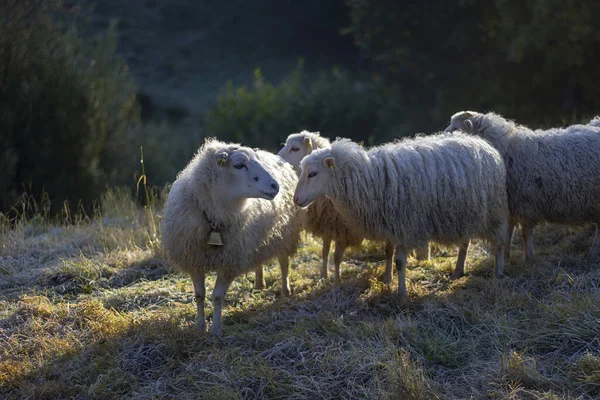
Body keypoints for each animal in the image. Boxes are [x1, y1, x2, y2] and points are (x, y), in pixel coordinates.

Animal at [162, 138, 302, 334]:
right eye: (239, 165)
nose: (275, 186)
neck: (213, 219)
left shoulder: (229, 262)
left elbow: (217, 297)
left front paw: (215, 329)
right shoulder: (194, 260)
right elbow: (199, 295)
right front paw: (200, 326)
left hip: (284, 234)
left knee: (284, 263)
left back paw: (285, 290)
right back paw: (259, 284)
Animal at [278, 131, 428, 282]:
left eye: (295, 148)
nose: (278, 162)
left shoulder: (343, 230)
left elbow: (337, 256)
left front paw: (337, 280)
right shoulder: (328, 226)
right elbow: (325, 251)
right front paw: (324, 275)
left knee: (391, 250)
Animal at [292, 136, 508, 296]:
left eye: (312, 174)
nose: (296, 199)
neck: (370, 178)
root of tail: (484, 144)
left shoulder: (405, 224)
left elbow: (400, 261)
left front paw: (402, 292)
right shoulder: (390, 223)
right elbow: (388, 253)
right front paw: (388, 279)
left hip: (493, 211)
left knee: (499, 243)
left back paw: (498, 272)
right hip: (465, 213)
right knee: (465, 242)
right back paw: (458, 270)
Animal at [442, 111, 600, 262]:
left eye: (456, 128)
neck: (506, 148)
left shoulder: (526, 204)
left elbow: (525, 233)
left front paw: (528, 258)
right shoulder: (511, 205)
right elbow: (509, 230)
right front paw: (507, 256)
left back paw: (592, 254)